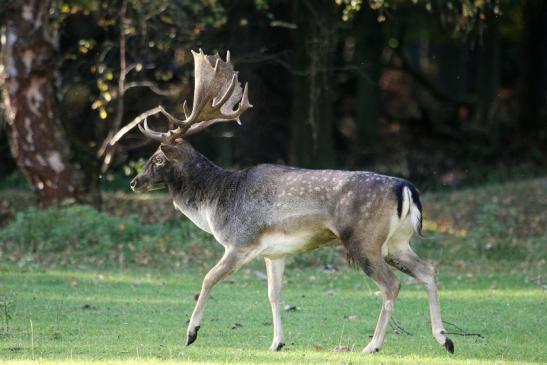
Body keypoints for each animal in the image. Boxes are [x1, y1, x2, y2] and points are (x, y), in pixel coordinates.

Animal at [122, 49, 456, 354]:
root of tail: (406, 187)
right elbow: (274, 294)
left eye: (157, 159)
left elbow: (208, 279)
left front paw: (191, 333)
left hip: (365, 240)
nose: (135, 182)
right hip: (396, 242)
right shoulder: (274, 253)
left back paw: (373, 345)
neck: (217, 202)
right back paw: (445, 339)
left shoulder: (240, 241)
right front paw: (277, 342)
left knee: (392, 285)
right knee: (429, 270)